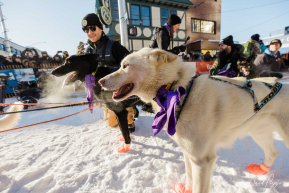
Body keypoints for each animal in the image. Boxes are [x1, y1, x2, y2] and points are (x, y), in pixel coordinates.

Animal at [98, 47, 286, 192]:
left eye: (125, 66)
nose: (100, 81)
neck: (176, 88)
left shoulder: (202, 161)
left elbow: (198, 186)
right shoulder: (188, 153)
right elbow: (189, 175)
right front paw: (186, 188)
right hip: (258, 133)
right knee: (273, 153)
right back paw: (260, 170)